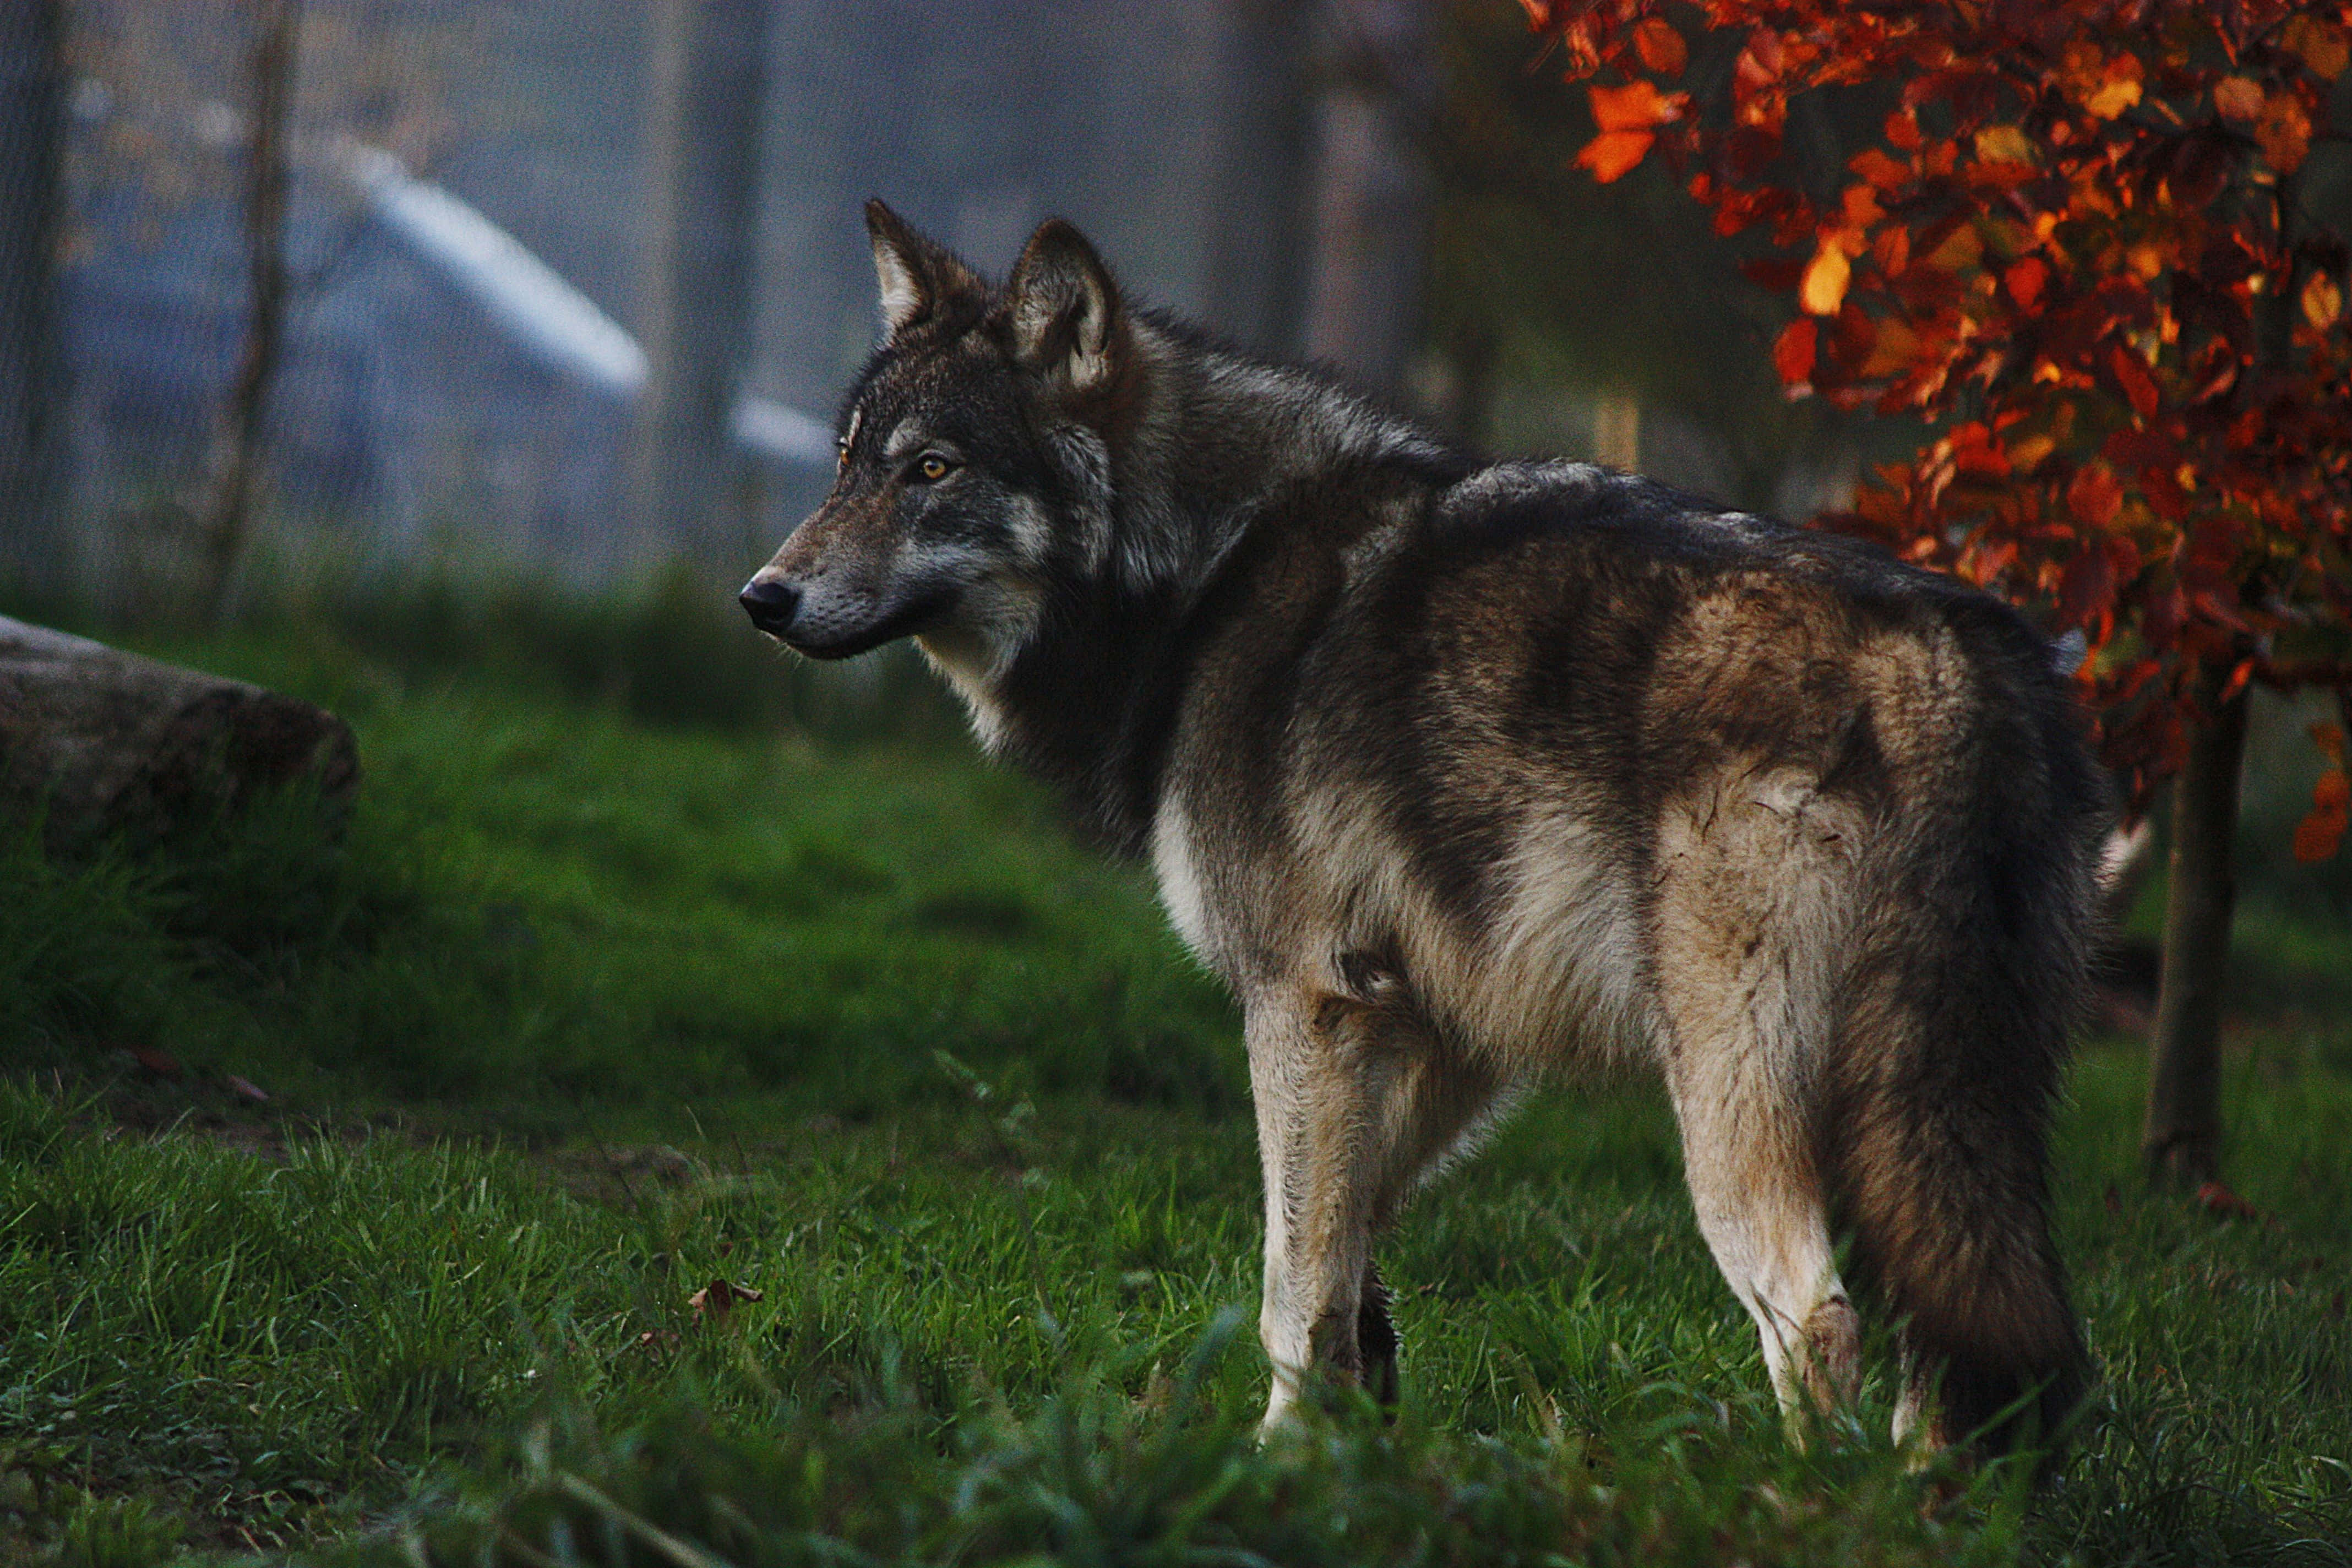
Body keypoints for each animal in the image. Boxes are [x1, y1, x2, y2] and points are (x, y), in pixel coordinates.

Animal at [741, 202, 2108, 1454]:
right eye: (847, 460)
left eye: (931, 469)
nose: (763, 597)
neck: (1206, 579)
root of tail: (1955, 659)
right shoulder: (1442, 1024)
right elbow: (1346, 1250)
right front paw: (1362, 1430)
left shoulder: (1303, 1000)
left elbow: (1292, 1282)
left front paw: (1276, 1464)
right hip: (1935, 1117)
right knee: (1954, 1340)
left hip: (1741, 1108)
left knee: (1818, 1318)